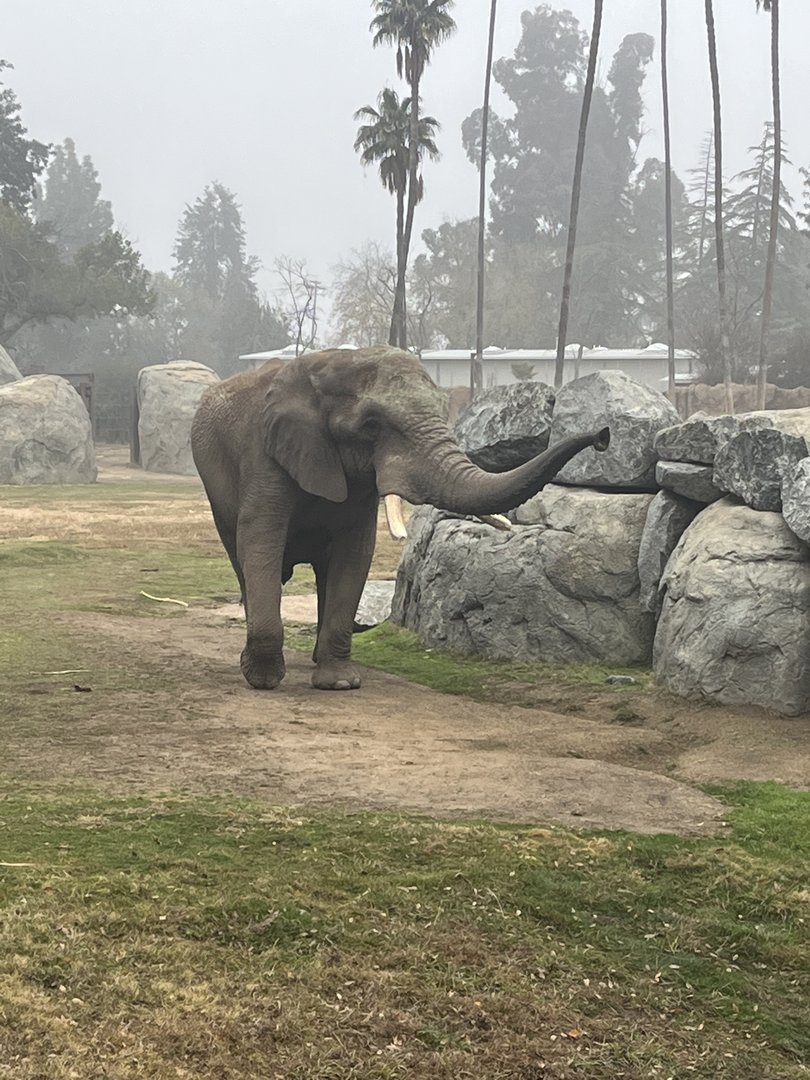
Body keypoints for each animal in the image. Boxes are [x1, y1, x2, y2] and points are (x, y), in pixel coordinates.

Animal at [191, 346, 609, 691]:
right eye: (371, 425)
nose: (603, 435)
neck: (335, 361)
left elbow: (354, 554)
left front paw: (339, 684)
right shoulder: (265, 456)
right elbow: (262, 542)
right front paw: (263, 680)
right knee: (243, 561)